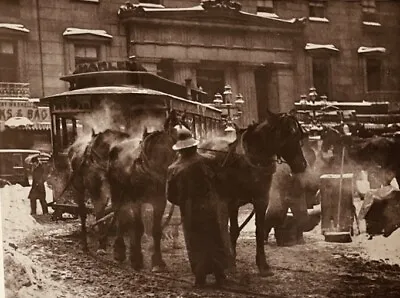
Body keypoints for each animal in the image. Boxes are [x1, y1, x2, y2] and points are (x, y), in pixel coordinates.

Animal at [199, 110, 306, 276]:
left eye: (298, 136)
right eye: (287, 135)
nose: (302, 165)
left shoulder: (261, 200)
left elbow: (259, 230)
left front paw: (263, 265)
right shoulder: (233, 202)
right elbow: (234, 231)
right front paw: (231, 263)